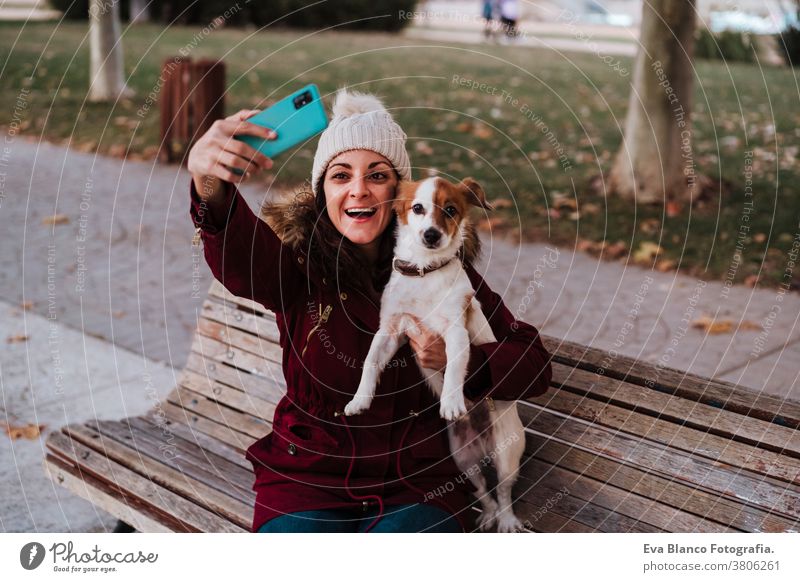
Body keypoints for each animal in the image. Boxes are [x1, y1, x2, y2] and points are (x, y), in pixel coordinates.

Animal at [342, 177, 524, 532]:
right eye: (417, 208)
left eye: (450, 210)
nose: (431, 235)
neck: (424, 273)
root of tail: (483, 442)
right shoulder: (390, 332)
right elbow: (370, 363)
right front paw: (360, 399)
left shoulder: (454, 332)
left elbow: (453, 368)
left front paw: (451, 402)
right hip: (462, 458)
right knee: (484, 490)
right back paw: (488, 514)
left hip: (506, 453)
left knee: (503, 489)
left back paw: (507, 519)